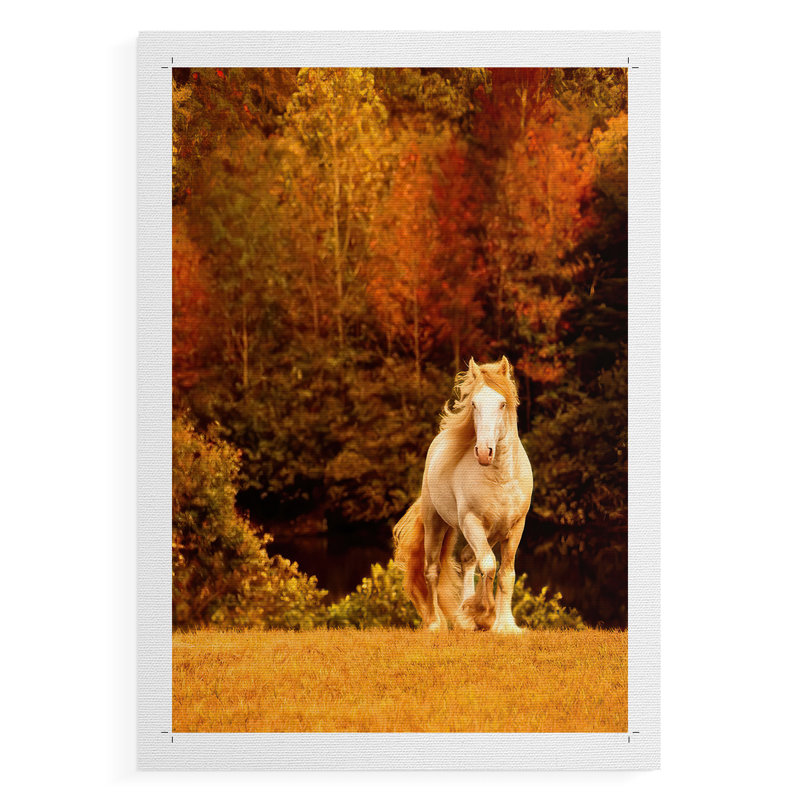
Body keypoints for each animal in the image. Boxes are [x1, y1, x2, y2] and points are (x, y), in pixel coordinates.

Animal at [393, 356, 534, 633]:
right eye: (474, 404)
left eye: (502, 404)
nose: (484, 452)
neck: (501, 477)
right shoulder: (471, 522)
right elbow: (489, 565)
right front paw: (483, 614)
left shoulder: (515, 527)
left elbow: (506, 574)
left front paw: (505, 625)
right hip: (436, 524)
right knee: (432, 570)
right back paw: (437, 623)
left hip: (491, 531)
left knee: (468, 559)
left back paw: (464, 619)